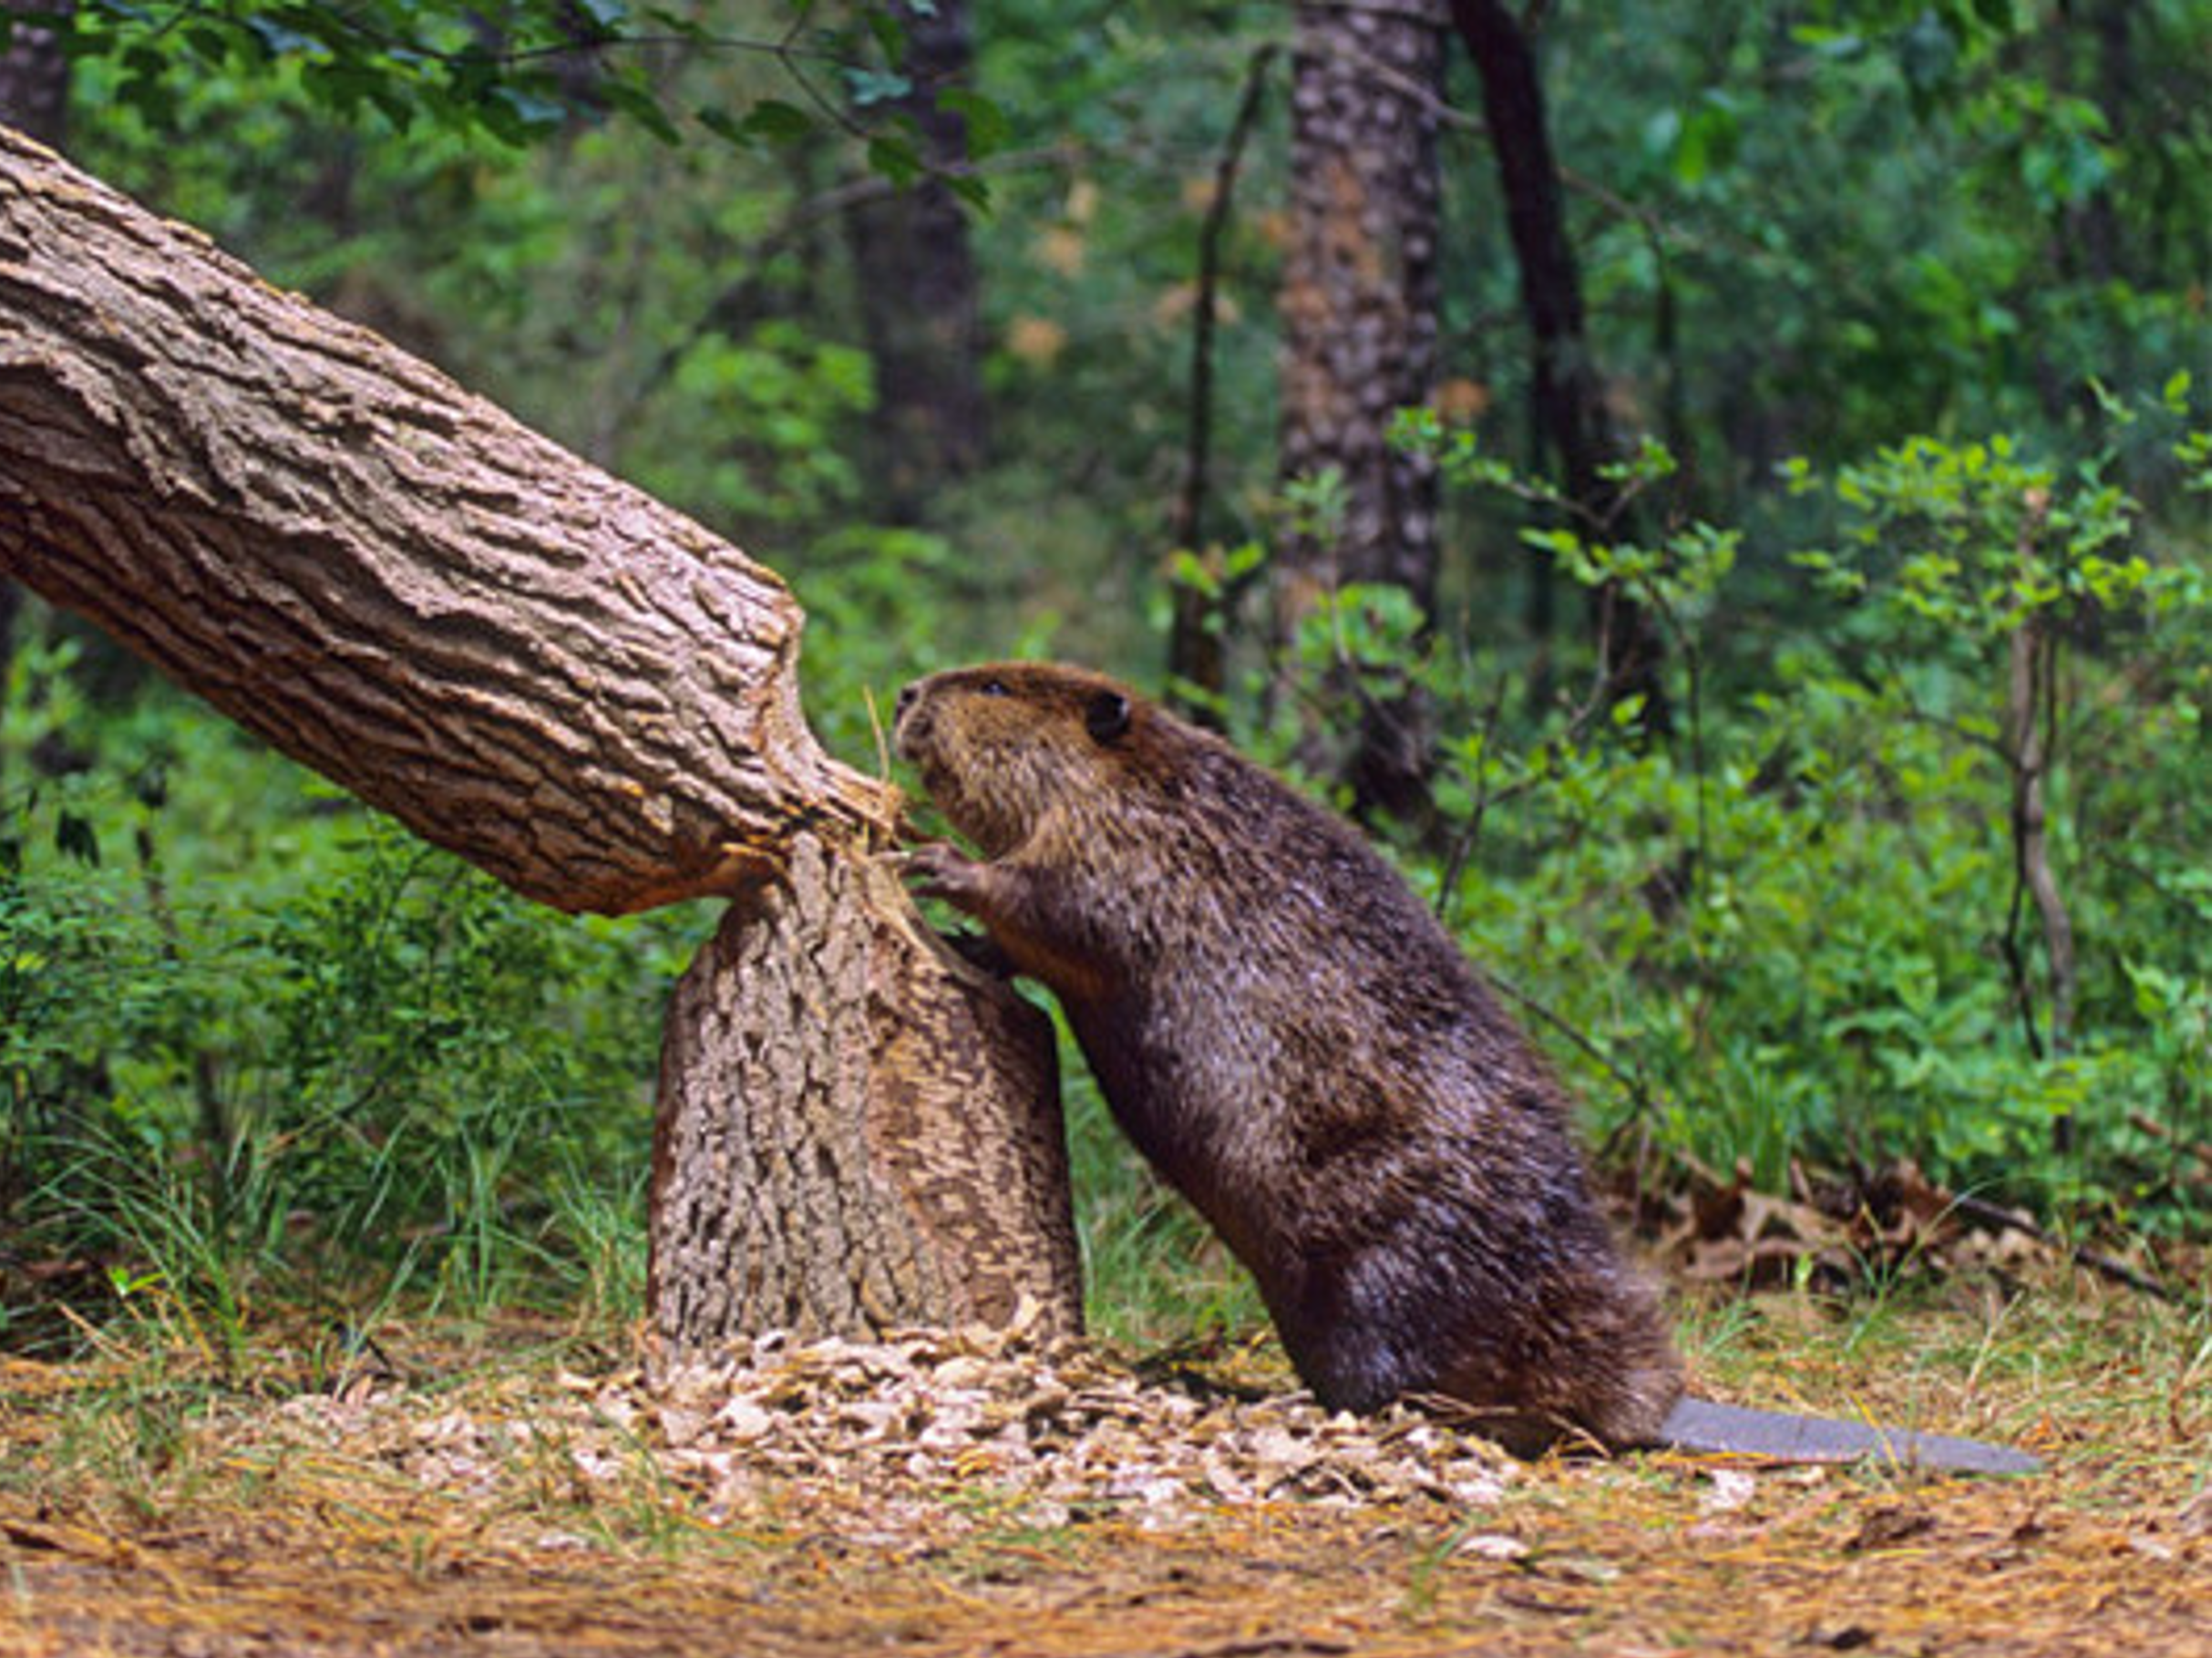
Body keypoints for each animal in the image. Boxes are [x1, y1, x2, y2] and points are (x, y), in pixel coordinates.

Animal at [893, 659, 2034, 1478]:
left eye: (995, 687)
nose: (906, 693)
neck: (1158, 784)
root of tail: (1652, 1401)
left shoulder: (1132, 856)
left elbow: (1059, 906)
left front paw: (938, 866)